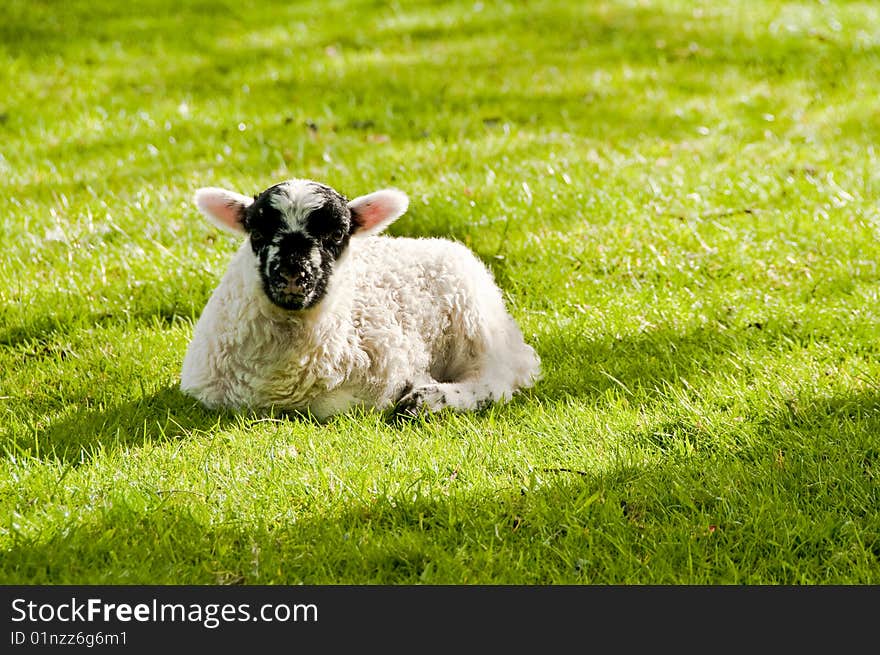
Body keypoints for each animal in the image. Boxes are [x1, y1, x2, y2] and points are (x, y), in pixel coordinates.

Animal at [181, 177, 540, 420]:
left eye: (337, 234)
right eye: (257, 233)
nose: (293, 274)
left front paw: (417, 390)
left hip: (476, 323)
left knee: (497, 380)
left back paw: (429, 401)